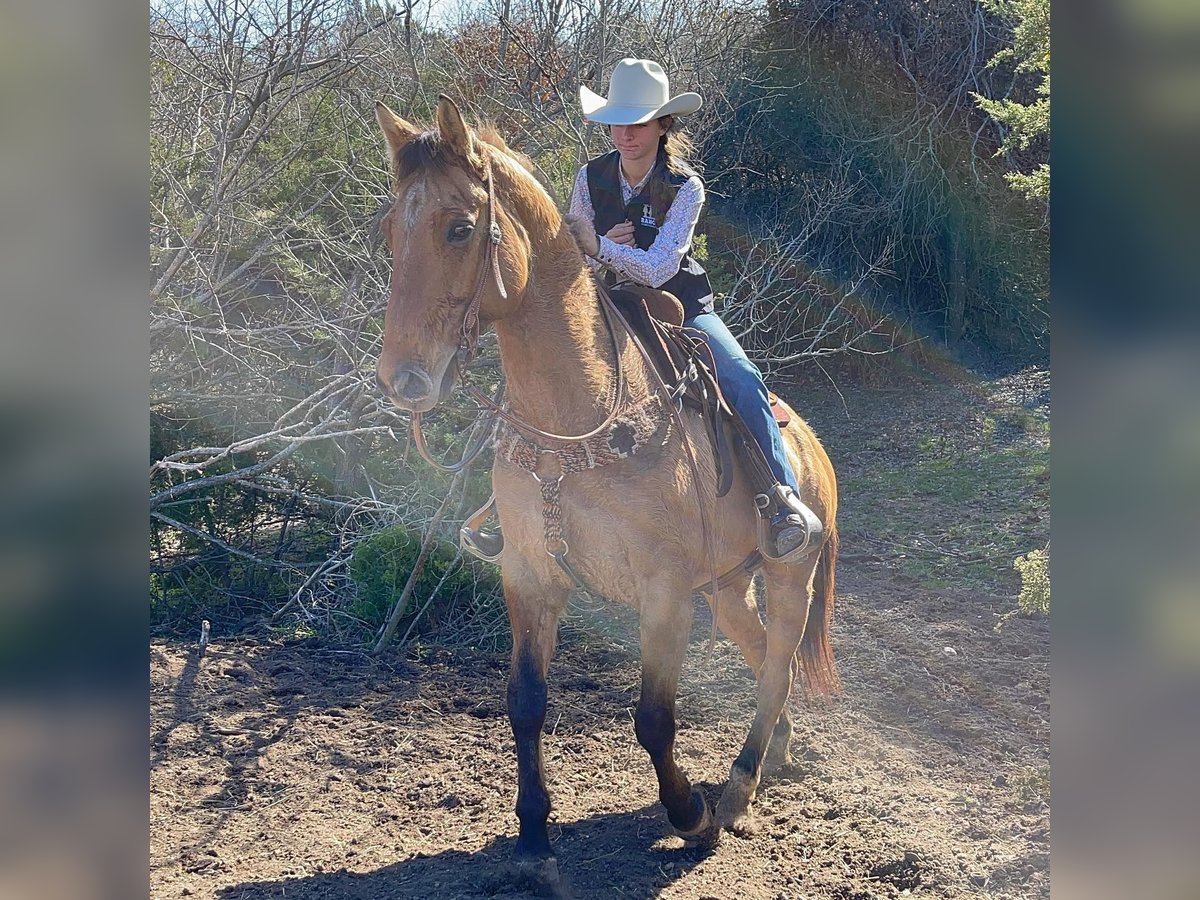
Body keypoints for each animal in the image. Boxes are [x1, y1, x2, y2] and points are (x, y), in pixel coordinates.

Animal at [369, 98, 840, 883]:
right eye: (389, 232)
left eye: (459, 227)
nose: (403, 380)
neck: (578, 419)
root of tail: (812, 449)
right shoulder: (529, 576)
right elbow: (525, 703)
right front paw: (533, 840)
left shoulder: (665, 593)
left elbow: (653, 718)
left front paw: (689, 816)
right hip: (729, 589)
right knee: (759, 653)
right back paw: (776, 753)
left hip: (788, 574)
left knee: (776, 664)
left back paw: (736, 791)